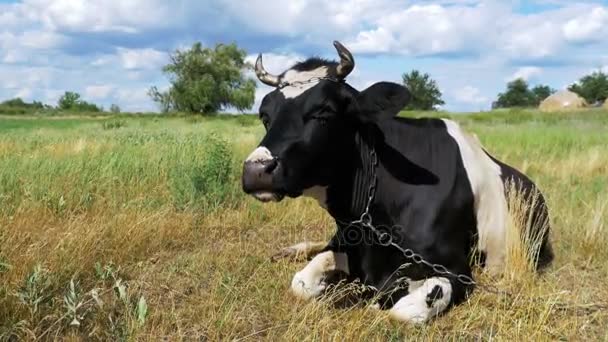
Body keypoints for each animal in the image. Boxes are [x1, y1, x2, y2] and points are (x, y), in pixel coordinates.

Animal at [240, 40, 552, 324]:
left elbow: (401, 310)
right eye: (265, 115)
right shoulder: (345, 242)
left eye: (324, 112)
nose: (256, 170)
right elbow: (302, 282)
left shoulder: (456, 269)